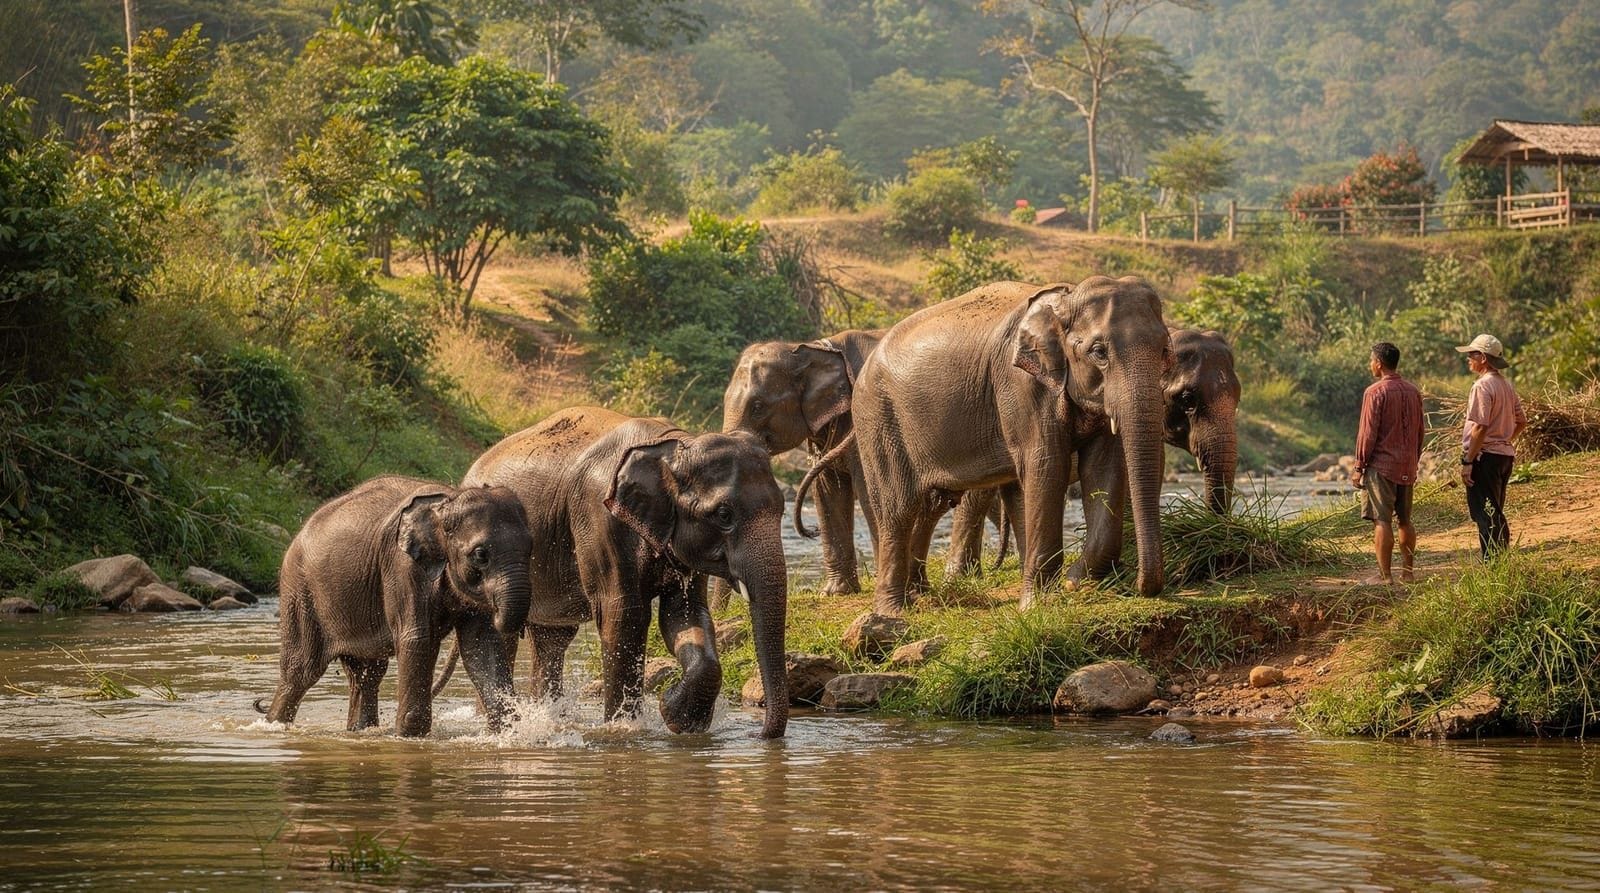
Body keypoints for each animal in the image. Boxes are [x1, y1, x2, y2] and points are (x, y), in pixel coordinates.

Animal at [260, 475, 534, 737]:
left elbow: (480, 645)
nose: (498, 611)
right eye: (480, 555)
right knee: (300, 671)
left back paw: (361, 730)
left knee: (367, 673)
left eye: (531, 551)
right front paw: (410, 736)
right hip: (301, 591)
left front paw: (505, 732)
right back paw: (273, 726)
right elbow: (417, 640)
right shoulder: (402, 567)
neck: (447, 501)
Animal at [462, 406, 791, 739]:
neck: (673, 447)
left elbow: (684, 614)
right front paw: (625, 727)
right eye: (724, 515)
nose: (760, 735)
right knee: (506, 636)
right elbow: (624, 616)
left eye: (782, 511)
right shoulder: (600, 521)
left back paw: (549, 717)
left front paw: (677, 716)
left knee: (553, 638)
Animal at [721, 328, 885, 595]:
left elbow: (869, 486)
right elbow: (827, 491)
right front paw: (834, 593)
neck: (811, 347)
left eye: (758, 406)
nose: (811, 530)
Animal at [808, 277, 1172, 614]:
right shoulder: (1021, 387)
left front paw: (1075, 582)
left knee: (935, 504)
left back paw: (914, 598)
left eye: (1165, 351)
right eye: (1099, 352)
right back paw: (892, 611)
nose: (1143, 588)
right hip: (878, 419)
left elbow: (1104, 468)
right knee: (899, 507)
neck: (1065, 298)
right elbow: (1046, 466)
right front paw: (1039, 606)